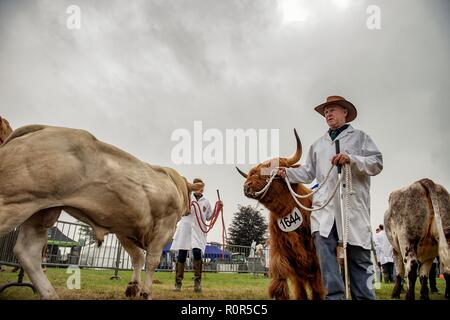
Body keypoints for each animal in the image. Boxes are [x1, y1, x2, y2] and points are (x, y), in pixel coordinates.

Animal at [0, 124, 202, 298]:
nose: (188, 210)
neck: (173, 184)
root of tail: (45, 127)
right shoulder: (163, 227)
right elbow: (151, 260)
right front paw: (145, 292)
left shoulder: (124, 229)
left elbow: (137, 257)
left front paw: (133, 286)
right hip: (13, 201)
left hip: (41, 212)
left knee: (29, 252)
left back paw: (51, 295)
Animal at [236, 130, 324, 300]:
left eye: (273, 172)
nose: (246, 186)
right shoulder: (281, 252)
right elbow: (283, 282)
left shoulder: (317, 259)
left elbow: (318, 288)